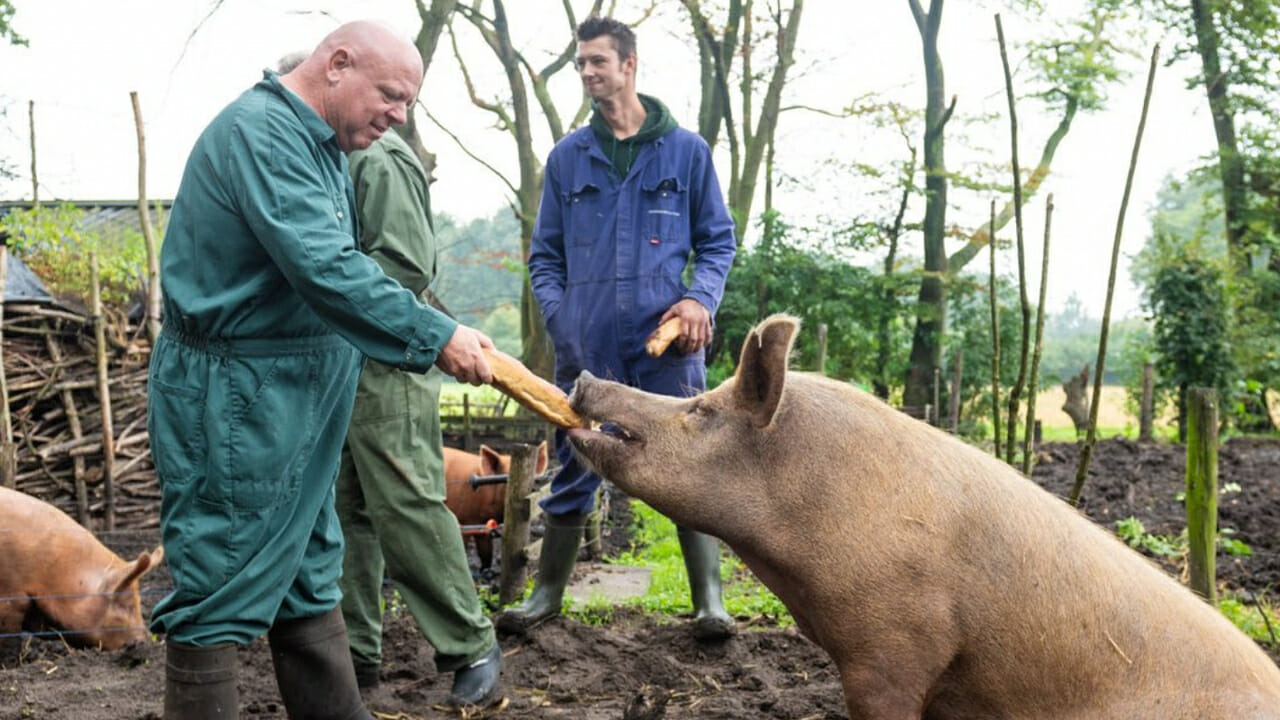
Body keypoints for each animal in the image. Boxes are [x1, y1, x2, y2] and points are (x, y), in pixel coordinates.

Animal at [442, 440, 547, 568]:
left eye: (535, 479)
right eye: (506, 479)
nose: (533, 489)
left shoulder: (485, 527)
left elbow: (487, 555)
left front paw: (486, 570)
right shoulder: (464, 521)